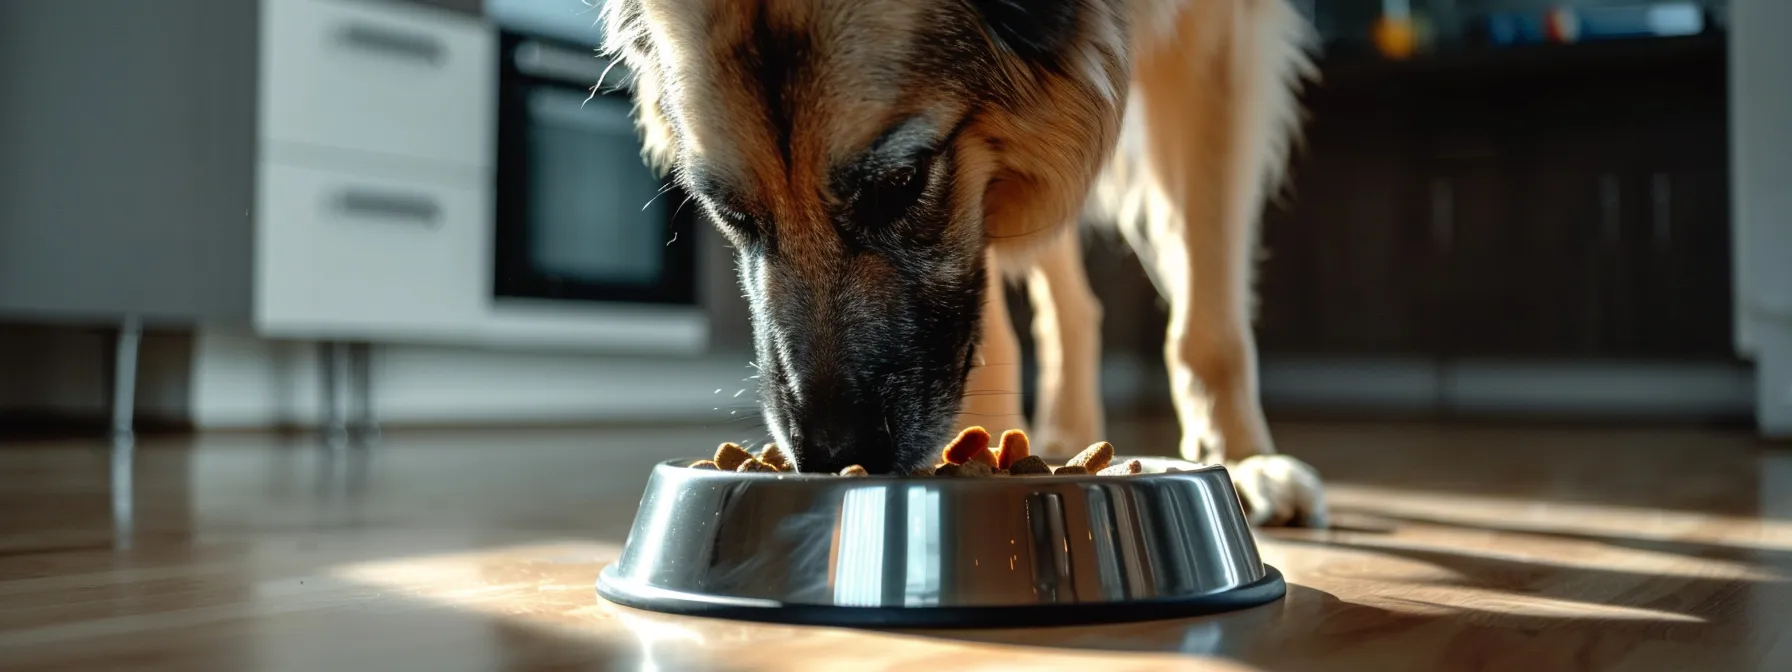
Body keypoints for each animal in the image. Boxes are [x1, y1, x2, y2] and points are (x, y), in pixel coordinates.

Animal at [602, 0, 1333, 526]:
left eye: (901, 184)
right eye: (730, 212)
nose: (834, 458)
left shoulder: (1217, 33)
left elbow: (1208, 303)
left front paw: (1241, 457)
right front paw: (996, 438)